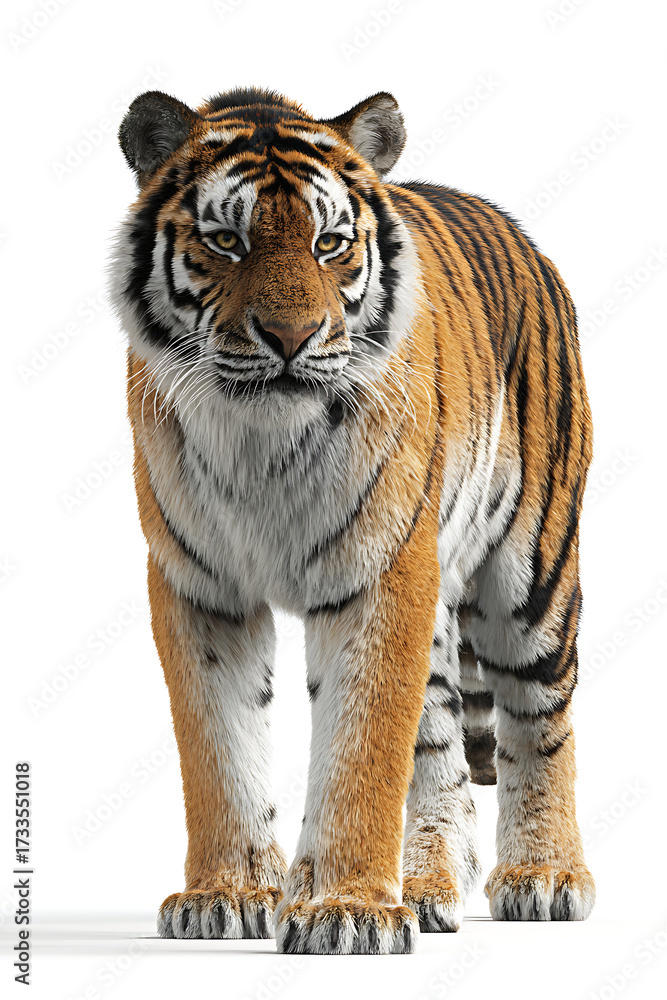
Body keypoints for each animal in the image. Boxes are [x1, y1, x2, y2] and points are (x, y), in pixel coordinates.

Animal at [111, 86, 595, 955]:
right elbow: (217, 747)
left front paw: (349, 910)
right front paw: (225, 895)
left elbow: (364, 746)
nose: (290, 337)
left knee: (539, 716)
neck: (259, 442)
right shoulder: (197, 584)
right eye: (226, 241)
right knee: (438, 742)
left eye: (329, 242)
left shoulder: (380, 573)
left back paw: (542, 877)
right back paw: (429, 886)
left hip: (532, 573)